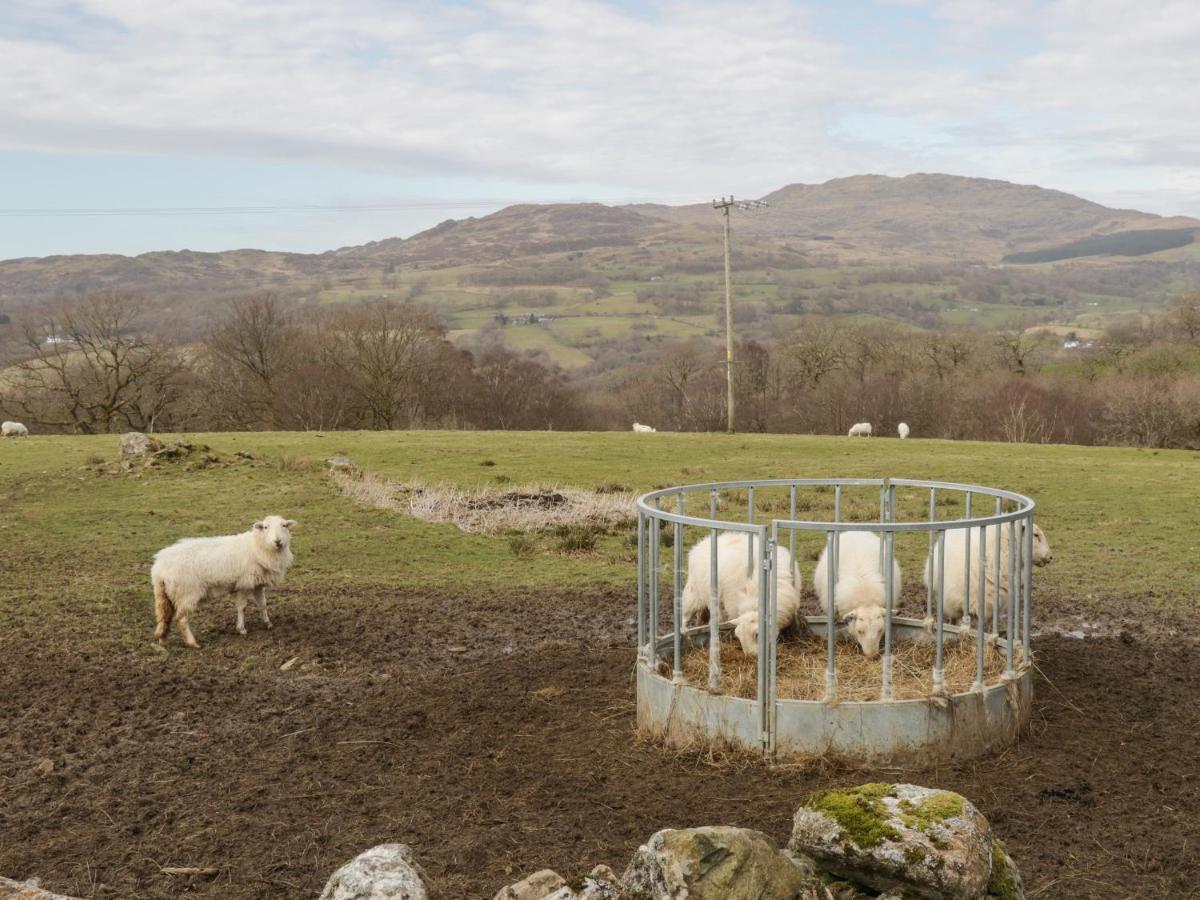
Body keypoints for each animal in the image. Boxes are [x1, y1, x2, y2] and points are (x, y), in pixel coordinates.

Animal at [152, 513, 297, 648]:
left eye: (284, 525)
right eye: (266, 527)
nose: (277, 541)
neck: (257, 546)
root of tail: (159, 567)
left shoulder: (257, 584)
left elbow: (263, 604)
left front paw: (268, 623)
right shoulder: (244, 583)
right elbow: (242, 607)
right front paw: (242, 629)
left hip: (166, 595)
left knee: (164, 617)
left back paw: (163, 642)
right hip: (186, 592)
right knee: (181, 619)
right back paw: (193, 643)